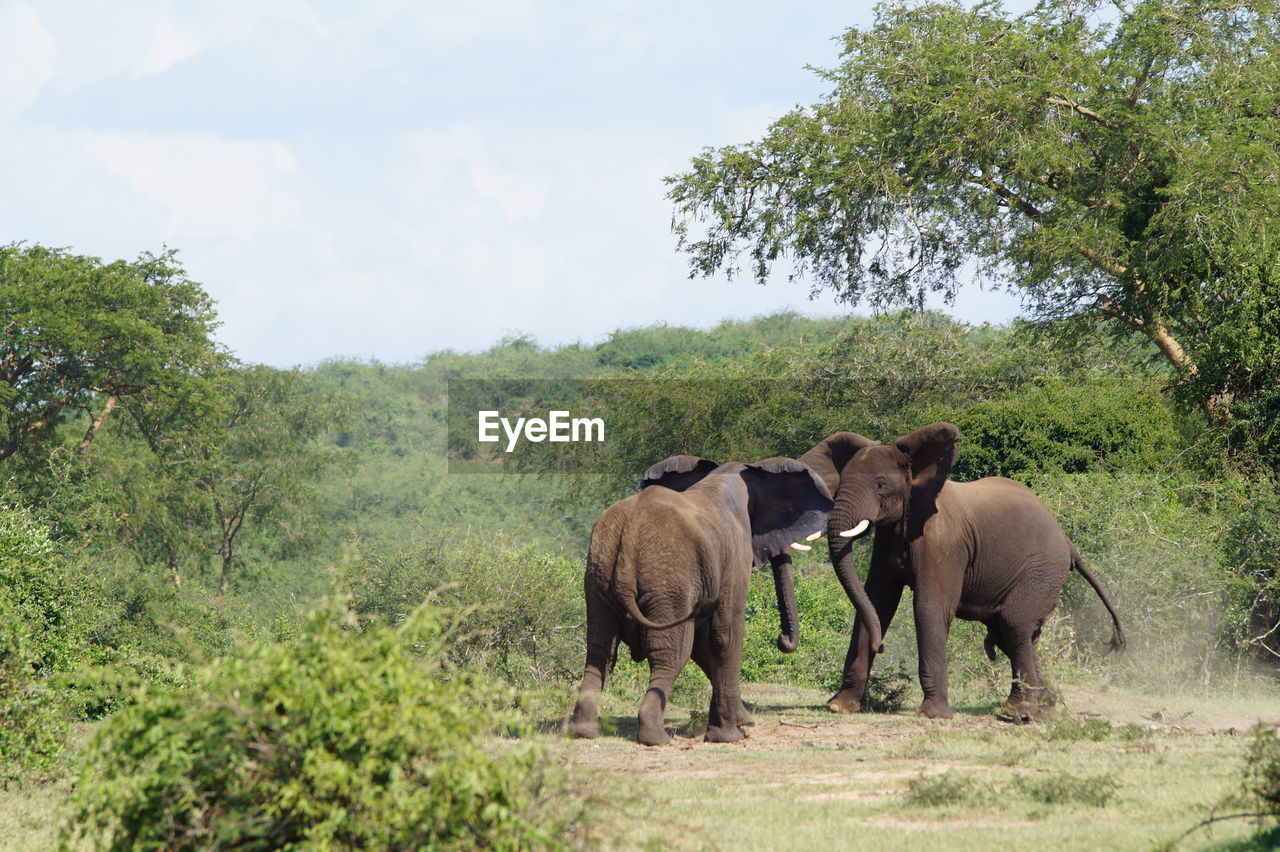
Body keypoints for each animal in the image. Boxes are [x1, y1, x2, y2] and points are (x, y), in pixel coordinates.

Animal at [566, 455, 832, 745]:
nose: (782, 639)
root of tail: (629, 531)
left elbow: (704, 645)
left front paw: (741, 722)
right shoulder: (734, 558)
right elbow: (725, 635)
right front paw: (729, 736)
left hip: (599, 576)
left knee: (600, 650)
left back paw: (583, 732)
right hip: (668, 581)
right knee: (670, 654)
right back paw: (656, 737)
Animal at [797, 423, 1125, 721]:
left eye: (880, 484)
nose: (881, 646)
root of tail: (1068, 543)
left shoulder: (943, 542)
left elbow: (929, 607)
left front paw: (932, 715)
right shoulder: (888, 538)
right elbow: (876, 603)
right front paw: (839, 707)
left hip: (1042, 570)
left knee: (1015, 624)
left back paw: (1018, 714)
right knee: (1011, 634)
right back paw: (1041, 710)